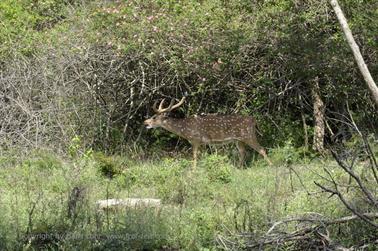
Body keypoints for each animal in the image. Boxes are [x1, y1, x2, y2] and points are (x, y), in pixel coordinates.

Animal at [144, 97, 272, 168]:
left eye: (154, 117)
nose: (145, 122)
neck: (184, 129)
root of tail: (253, 120)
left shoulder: (196, 139)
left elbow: (195, 157)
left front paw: (193, 172)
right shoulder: (203, 143)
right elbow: (202, 156)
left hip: (248, 135)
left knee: (262, 149)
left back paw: (271, 166)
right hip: (238, 140)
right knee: (243, 152)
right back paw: (239, 168)